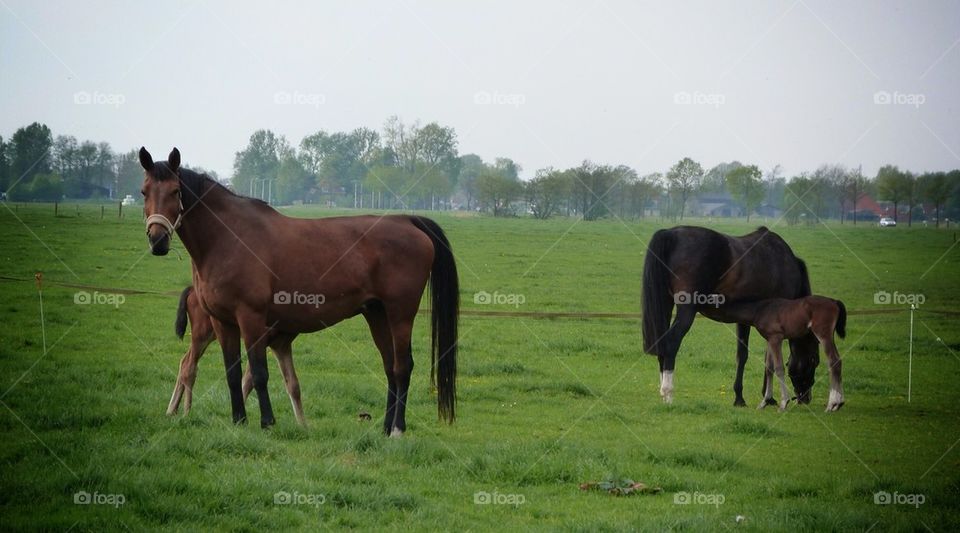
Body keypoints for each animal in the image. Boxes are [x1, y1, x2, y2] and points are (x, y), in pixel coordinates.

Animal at [166, 286, 306, 426]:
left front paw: (302, 425)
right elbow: (249, 379)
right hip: (201, 334)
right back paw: (186, 412)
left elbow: (292, 384)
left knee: (184, 361)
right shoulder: (261, 340)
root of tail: (191, 290)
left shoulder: (280, 345)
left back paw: (172, 410)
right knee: (189, 366)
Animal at [641, 225, 820, 406]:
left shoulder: (745, 320)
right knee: (671, 343)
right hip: (687, 311)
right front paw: (768, 398)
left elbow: (743, 356)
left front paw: (740, 397)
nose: (805, 398)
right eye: (815, 360)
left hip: (665, 303)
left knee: (662, 343)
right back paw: (668, 393)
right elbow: (769, 360)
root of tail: (671, 233)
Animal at [715, 295, 846, 412]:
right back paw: (837, 404)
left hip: (823, 334)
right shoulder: (769, 339)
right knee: (837, 361)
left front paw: (783, 403)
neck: (760, 310)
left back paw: (832, 404)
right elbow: (769, 368)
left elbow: (778, 368)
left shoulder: (776, 338)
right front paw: (764, 402)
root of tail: (834, 301)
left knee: (834, 361)